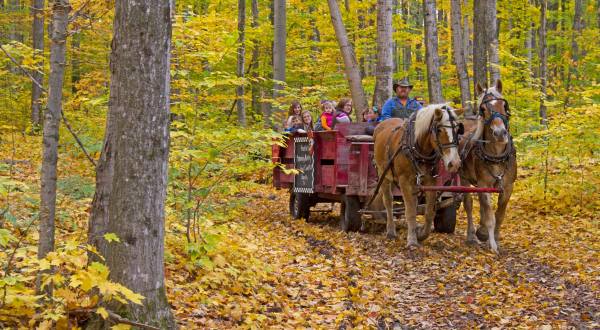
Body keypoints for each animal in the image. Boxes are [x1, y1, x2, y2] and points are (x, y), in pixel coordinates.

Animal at [372, 103, 462, 248]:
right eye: (439, 130)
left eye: (458, 130)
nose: (454, 163)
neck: (417, 149)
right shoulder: (404, 181)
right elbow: (410, 212)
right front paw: (412, 241)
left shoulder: (431, 181)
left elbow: (428, 212)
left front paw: (420, 234)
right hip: (383, 174)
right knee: (388, 201)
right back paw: (390, 231)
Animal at [460, 80, 516, 253]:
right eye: (483, 109)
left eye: (504, 105)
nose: (500, 133)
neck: (496, 156)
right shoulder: (483, 185)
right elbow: (490, 217)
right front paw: (491, 244)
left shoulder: (507, 186)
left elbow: (499, 215)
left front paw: (495, 238)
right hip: (463, 178)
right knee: (469, 204)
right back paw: (472, 235)